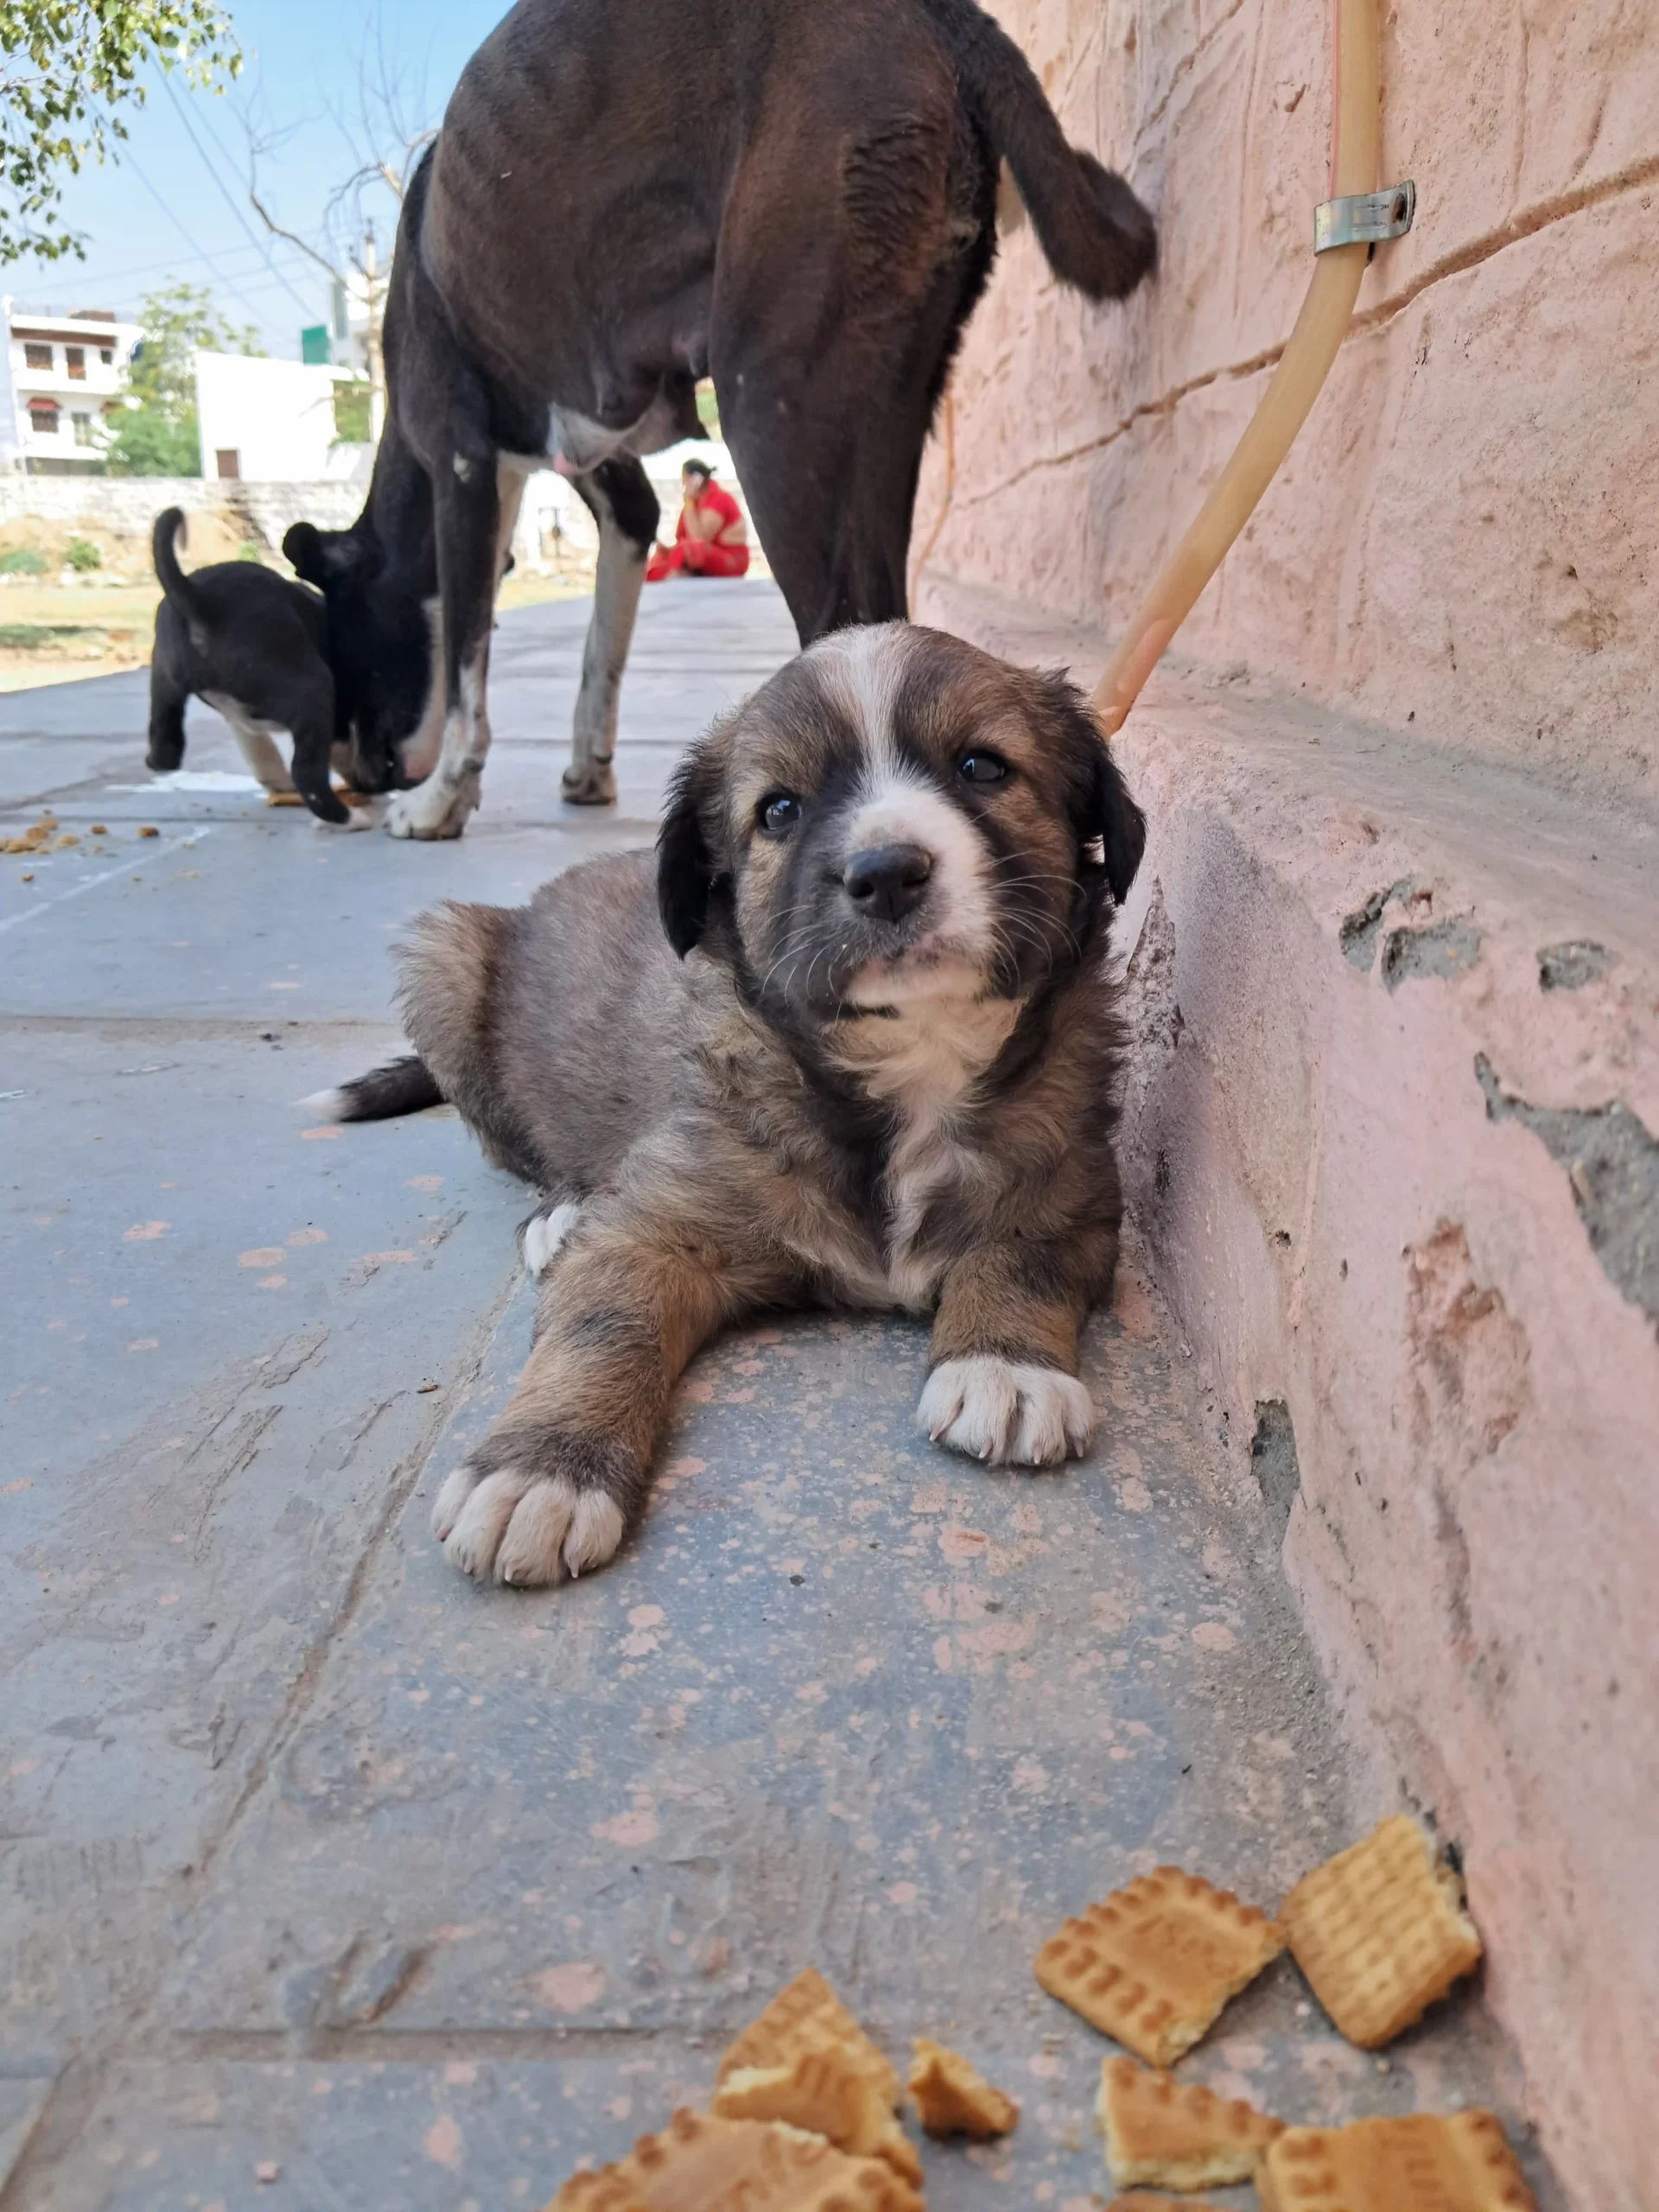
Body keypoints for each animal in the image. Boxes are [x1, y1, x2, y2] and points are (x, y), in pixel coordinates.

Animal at [144, 506, 382, 827]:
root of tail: (200, 601)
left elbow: (262, 753)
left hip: (164, 684)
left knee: (165, 747)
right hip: (313, 686)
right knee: (307, 776)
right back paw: (351, 818)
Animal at [291, 0, 1159, 831]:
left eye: (345, 632)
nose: (355, 777)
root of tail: (939, 14)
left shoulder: (460, 463)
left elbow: (467, 666)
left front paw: (440, 800)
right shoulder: (617, 490)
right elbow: (601, 647)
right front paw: (587, 770)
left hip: (773, 413)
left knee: (847, 638)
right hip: (880, 413)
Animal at [311, 632, 1141, 1583]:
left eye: (982, 766)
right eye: (777, 810)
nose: (885, 873)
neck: (912, 1059)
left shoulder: (1074, 1189)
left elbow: (1019, 1254)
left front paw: (1005, 1365)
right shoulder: (657, 1227)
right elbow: (604, 1322)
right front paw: (541, 1470)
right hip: (442, 959)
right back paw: (562, 1211)